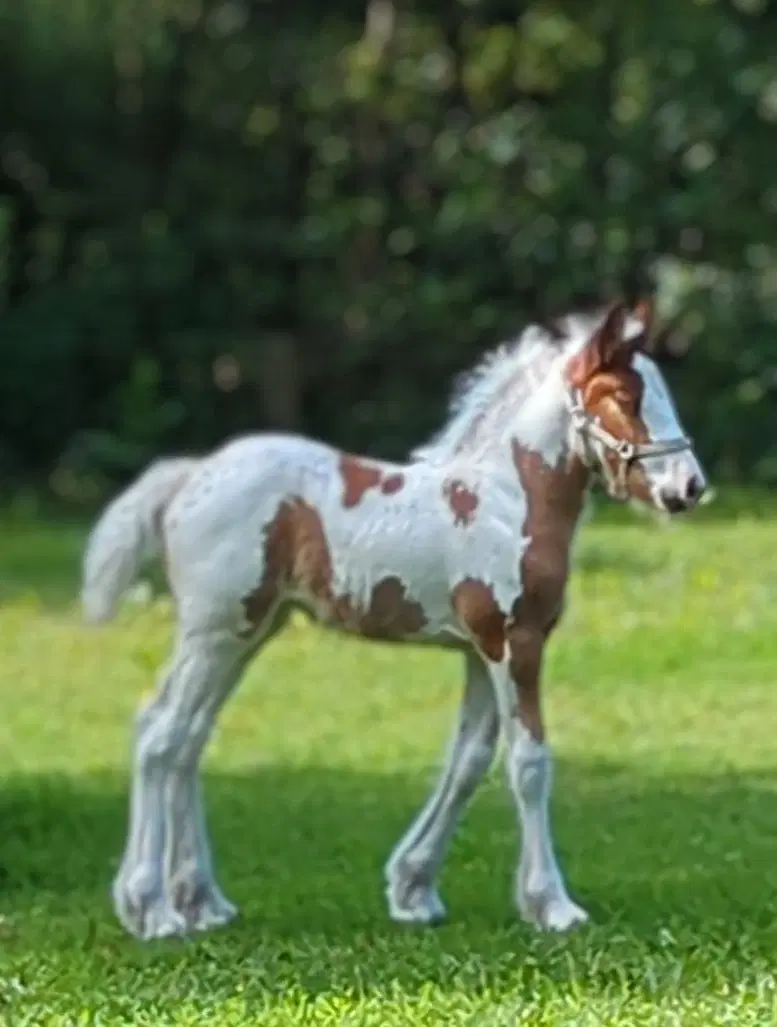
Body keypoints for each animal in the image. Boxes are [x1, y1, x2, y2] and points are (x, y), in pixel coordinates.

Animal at [83, 297, 702, 940]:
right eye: (624, 396)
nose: (689, 487)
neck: (505, 500)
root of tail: (191, 477)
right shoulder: (514, 641)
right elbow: (529, 763)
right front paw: (552, 905)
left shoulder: (479, 652)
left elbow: (467, 762)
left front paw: (414, 889)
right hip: (216, 633)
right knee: (162, 734)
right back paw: (152, 909)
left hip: (246, 633)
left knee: (187, 738)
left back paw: (201, 902)